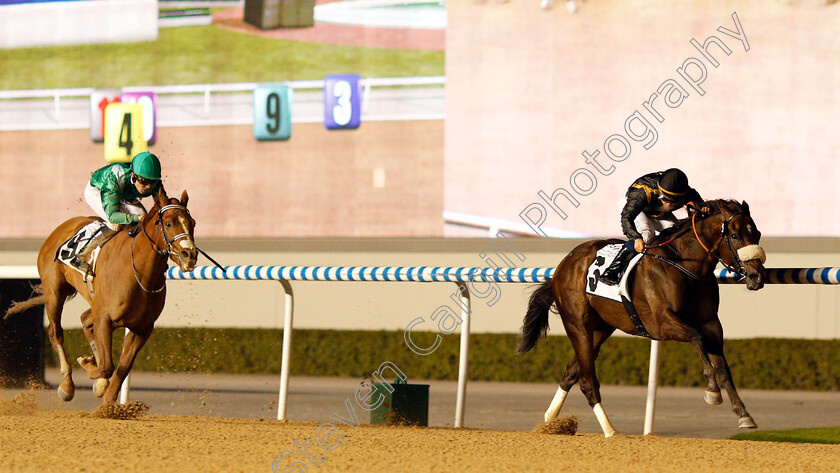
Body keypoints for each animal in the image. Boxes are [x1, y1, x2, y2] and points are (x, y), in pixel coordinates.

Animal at [4, 186, 197, 404]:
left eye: (192, 223)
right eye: (169, 223)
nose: (190, 255)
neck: (140, 272)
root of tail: (61, 228)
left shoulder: (142, 328)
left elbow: (122, 368)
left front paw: (107, 399)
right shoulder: (105, 318)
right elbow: (107, 367)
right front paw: (89, 368)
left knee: (85, 320)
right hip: (54, 291)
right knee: (56, 332)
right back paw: (67, 385)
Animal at [516, 199, 764, 436]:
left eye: (758, 234)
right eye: (734, 235)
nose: (757, 277)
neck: (685, 266)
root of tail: (562, 266)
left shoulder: (711, 323)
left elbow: (723, 367)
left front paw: (744, 415)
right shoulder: (662, 323)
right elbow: (697, 338)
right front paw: (711, 390)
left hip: (600, 328)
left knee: (571, 373)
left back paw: (549, 422)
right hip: (578, 324)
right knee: (587, 381)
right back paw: (610, 431)